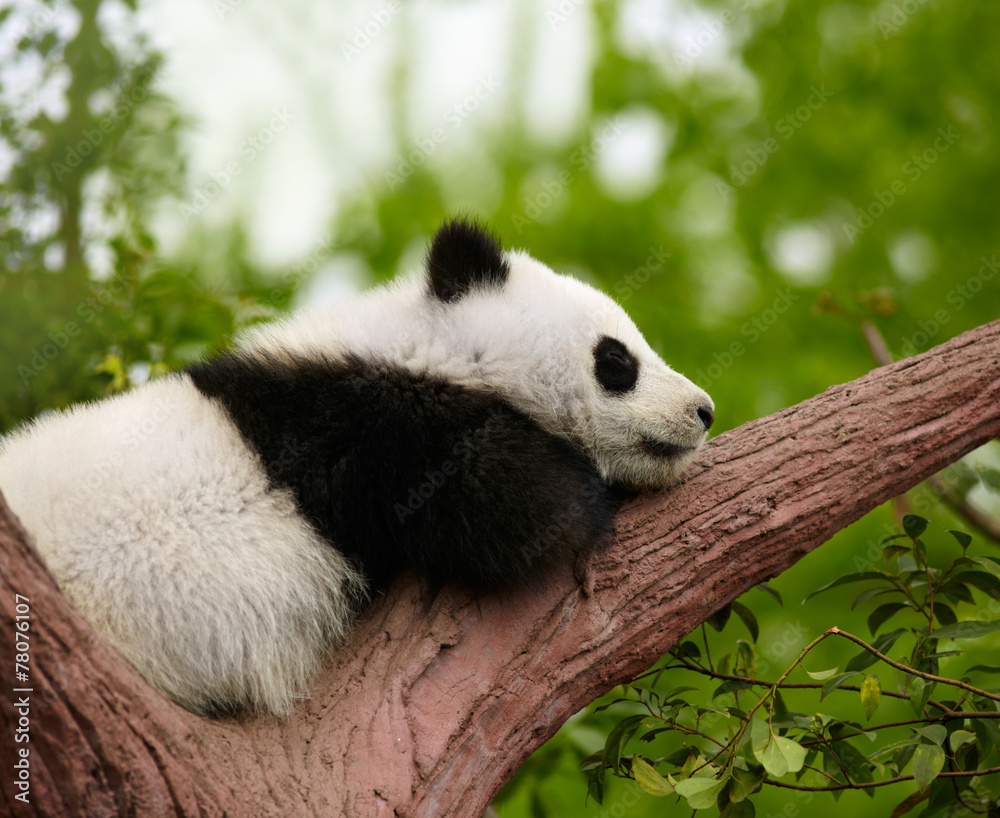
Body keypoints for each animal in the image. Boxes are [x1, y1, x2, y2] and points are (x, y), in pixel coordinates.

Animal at [0, 219, 713, 717]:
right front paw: (590, 495)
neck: (429, 347)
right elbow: (514, 510)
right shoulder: (376, 431)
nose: (703, 410)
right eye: (616, 360)